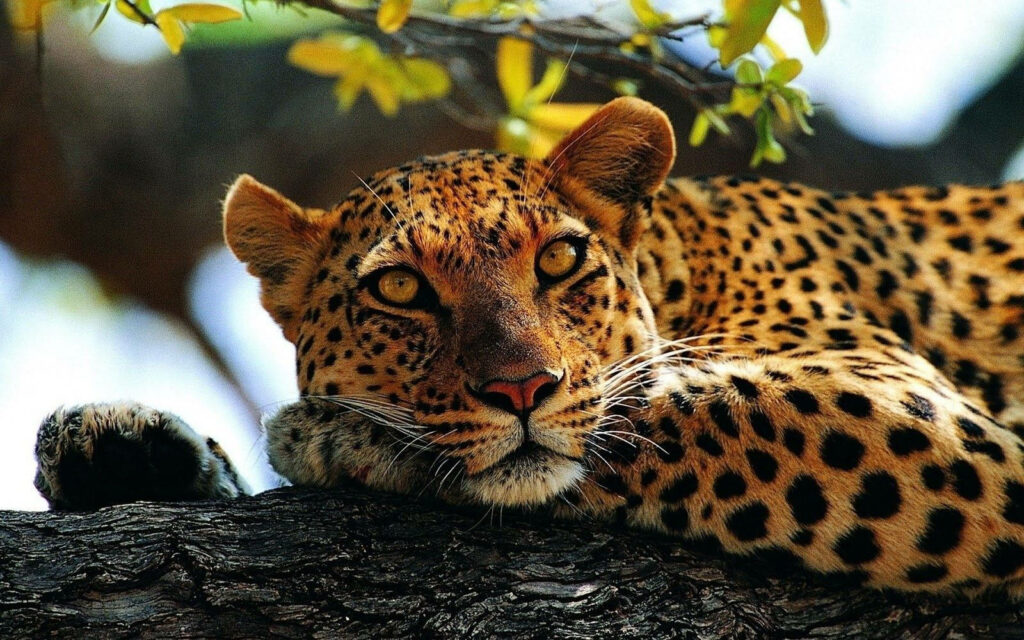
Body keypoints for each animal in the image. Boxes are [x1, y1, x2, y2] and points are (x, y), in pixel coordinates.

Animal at [33, 97, 1024, 597]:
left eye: (558, 259)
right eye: (400, 290)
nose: (520, 390)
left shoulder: (927, 420)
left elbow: (667, 413)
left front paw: (337, 434)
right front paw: (124, 448)